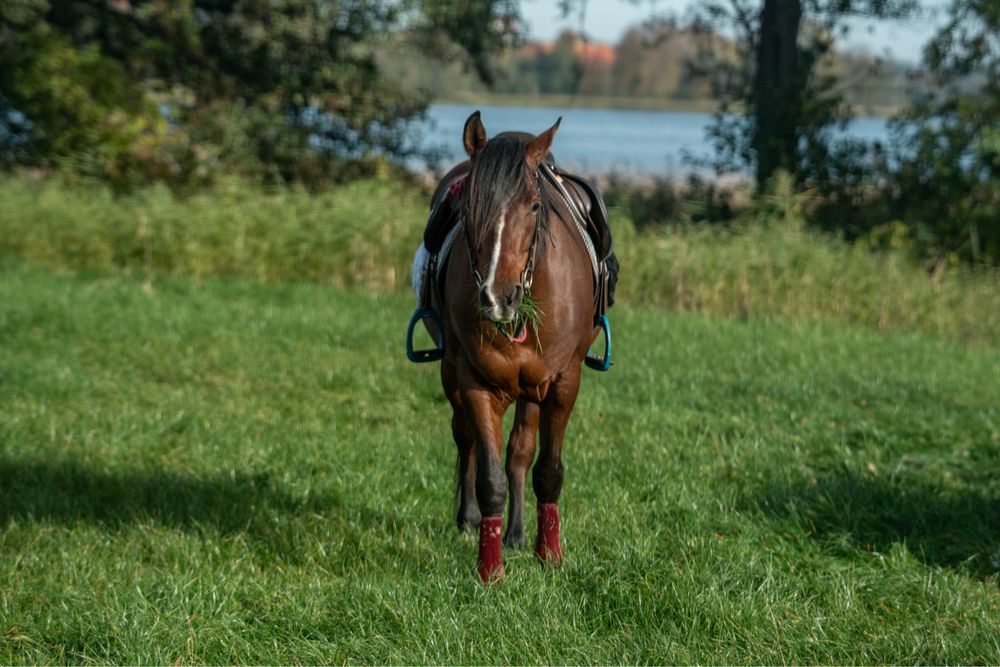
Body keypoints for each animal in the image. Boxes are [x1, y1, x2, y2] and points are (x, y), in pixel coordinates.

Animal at [426, 112, 603, 582]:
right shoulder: (475, 383)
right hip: (453, 375)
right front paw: (490, 572)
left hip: (532, 390)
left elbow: (547, 470)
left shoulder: (562, 383)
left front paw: (549, 555)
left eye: (535, 206)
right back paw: (471, 520)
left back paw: (520, 533)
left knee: (521, 451)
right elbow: (490, 478)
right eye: (468, 208)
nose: (497, 297)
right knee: (465, 437)